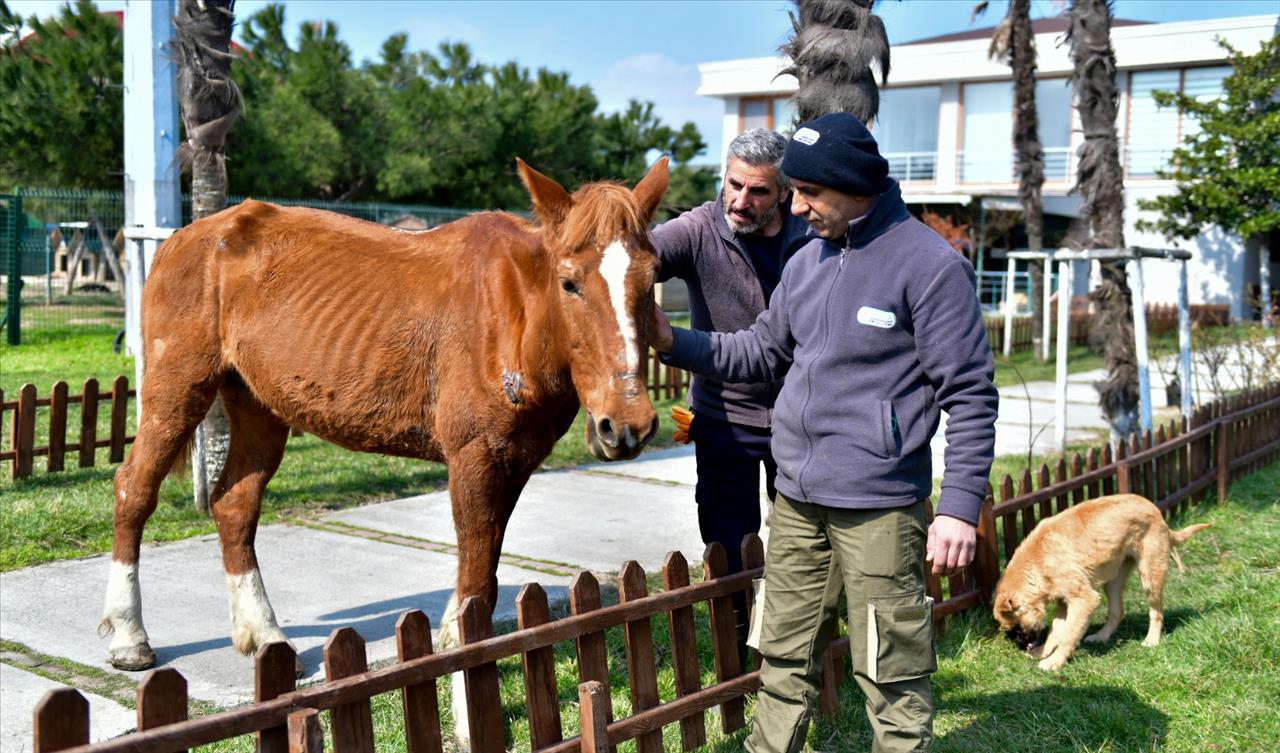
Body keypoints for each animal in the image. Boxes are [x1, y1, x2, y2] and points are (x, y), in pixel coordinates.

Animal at [99, 157, 670, 671]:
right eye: (569, 282)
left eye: (651, 280)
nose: (627, 424)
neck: (517, 315)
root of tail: (184, 238)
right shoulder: (475, 458)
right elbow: (474, 587)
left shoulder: (515, 461)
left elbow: (483, 577)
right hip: (178, 387)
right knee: (134, 489)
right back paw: (129, 636)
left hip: (258, 405)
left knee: (234, 505)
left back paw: (264, 635)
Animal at [988, 494, 1208, 671]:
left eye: (1016, 626)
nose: (1019, 644)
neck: (1037, 562)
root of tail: (1159, 514)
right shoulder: (1064, 602)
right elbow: (1056, 630)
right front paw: (1044, 651)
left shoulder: (1084, 600)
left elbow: (1068, 634)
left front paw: (1054, 661)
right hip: (1113, 580)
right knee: (1117, 611)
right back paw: (1101, 637)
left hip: (1150, 575)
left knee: (1156, 613)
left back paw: (1152, 640)